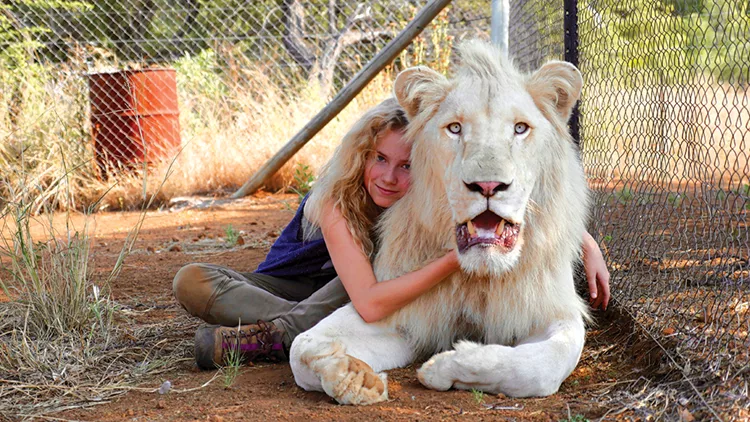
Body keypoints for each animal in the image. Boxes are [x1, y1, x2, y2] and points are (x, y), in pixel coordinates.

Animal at [290, 40, 592, 406]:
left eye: (520, 128)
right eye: (455, 128)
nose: (488, 185)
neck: (478, 277)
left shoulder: (552, 309)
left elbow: (544, 365)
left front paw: (446, 366)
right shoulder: (400, 310)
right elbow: (302, 346)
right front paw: (353, 376)